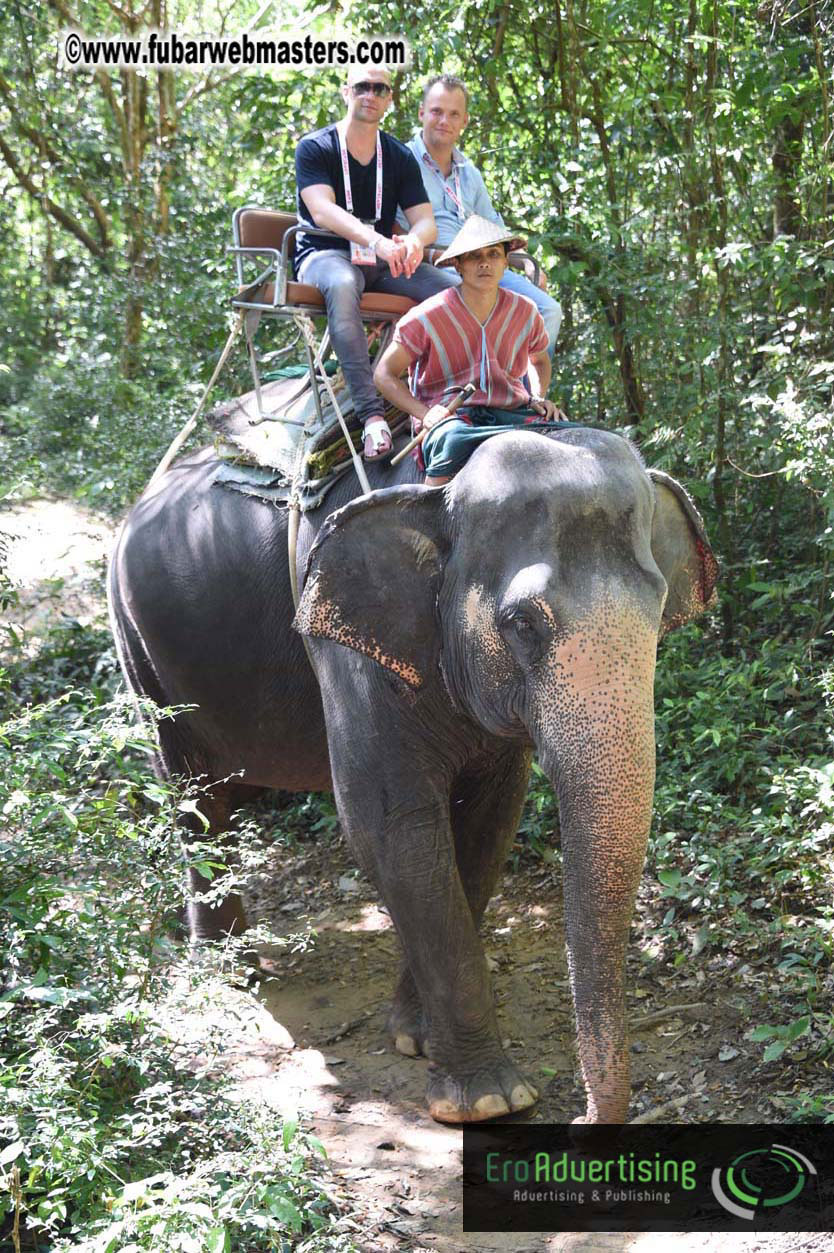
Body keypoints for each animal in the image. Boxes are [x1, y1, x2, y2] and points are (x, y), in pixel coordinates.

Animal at [108, 423, 717, 1125]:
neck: (440, 486)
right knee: (194, 799)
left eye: (661, 608)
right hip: (139, 653)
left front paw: (416, 1037)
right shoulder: (348, 646)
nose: (585, 1118)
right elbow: (388, 824)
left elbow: (488, 823)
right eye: (522, 624)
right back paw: (232, 974)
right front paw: (489, 1100)